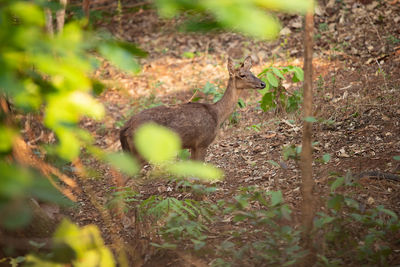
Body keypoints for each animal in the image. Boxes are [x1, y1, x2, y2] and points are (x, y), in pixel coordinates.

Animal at [120, 57, 268, 163]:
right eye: (242, 75)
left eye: (252, 72)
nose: (263, 84)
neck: (217, 115)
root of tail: (125, 127)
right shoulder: (203, 142)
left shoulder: (193, 145)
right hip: (141, 150)